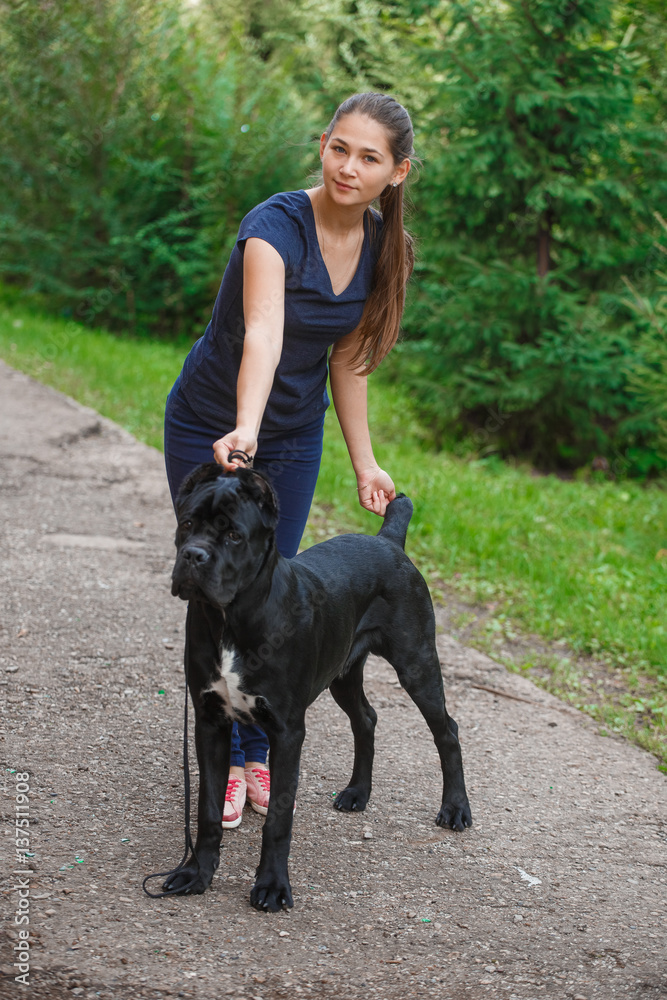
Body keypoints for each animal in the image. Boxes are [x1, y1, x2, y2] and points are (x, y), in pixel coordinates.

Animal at [163, 463, 472, 911]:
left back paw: (456, 809)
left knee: (446, 730)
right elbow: (206, 807)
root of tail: (388, 541)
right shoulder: (211, 722)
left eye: (234, 534)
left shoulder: (287, 731)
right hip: (344, 672)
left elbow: (278, 818)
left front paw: (272, 886)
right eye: (187, 524)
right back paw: (357, 793)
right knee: (366, 719)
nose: (193, 555)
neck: (230, 619)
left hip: (417, 664)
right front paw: (196, 873)